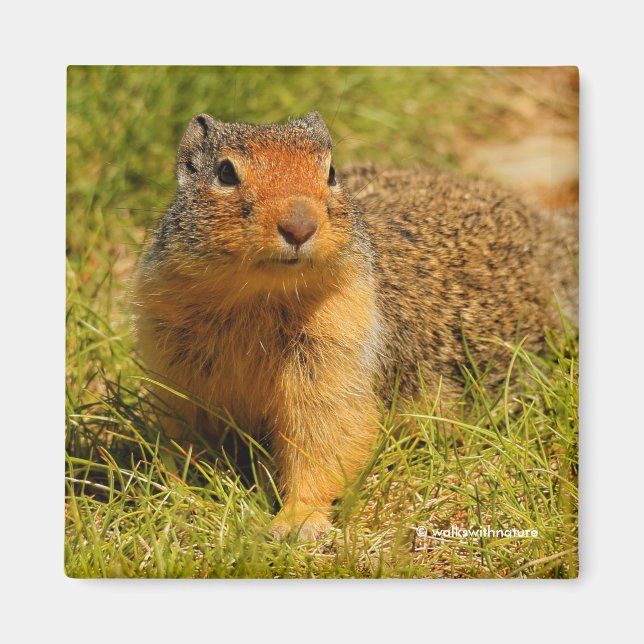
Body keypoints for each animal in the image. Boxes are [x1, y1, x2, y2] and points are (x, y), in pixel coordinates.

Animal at [132, 111, 578, 540]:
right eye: (225, 173)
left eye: (331, 172)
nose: (299, 226)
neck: (256, 297)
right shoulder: (176, 364)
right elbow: (186, 437)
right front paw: (178, 495)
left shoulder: (337, 351)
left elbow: (325, 438)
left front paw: (297, 521)